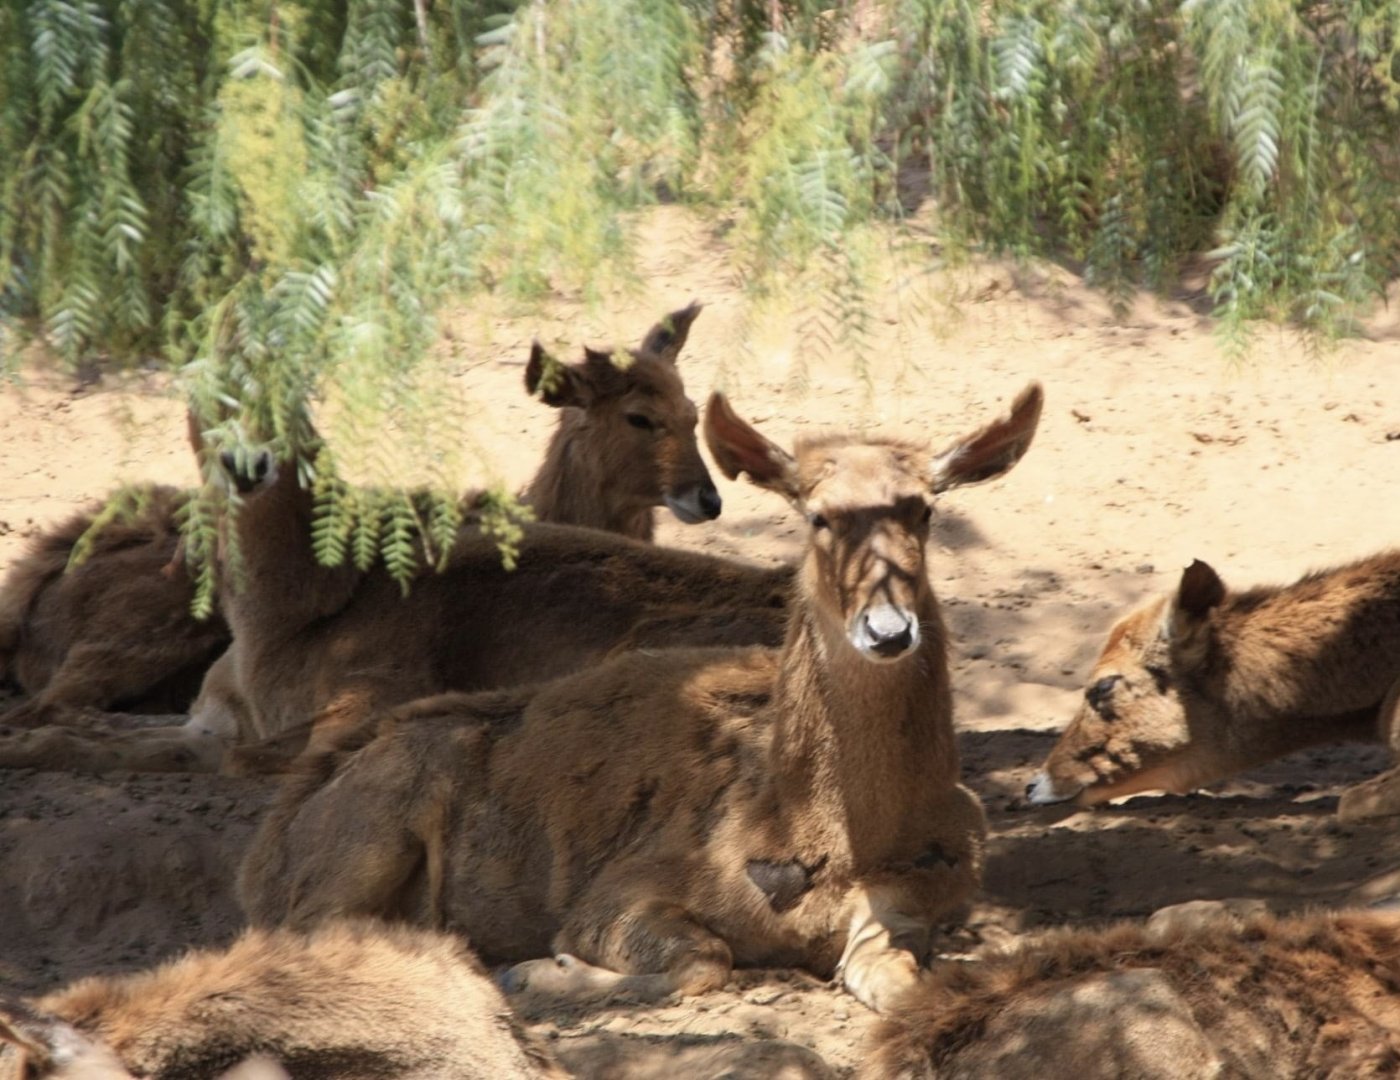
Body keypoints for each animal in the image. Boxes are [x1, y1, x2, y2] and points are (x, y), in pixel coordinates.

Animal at [236, 383, 1045, 1015]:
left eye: (925, 510)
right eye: (817, 515)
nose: (887, 630)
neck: (832, 838)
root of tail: (272, 845)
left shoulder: (910, 910)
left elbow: (905, 987)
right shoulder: (620, 892)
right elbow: (703, 962)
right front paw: (539, 971)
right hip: (367, 836)